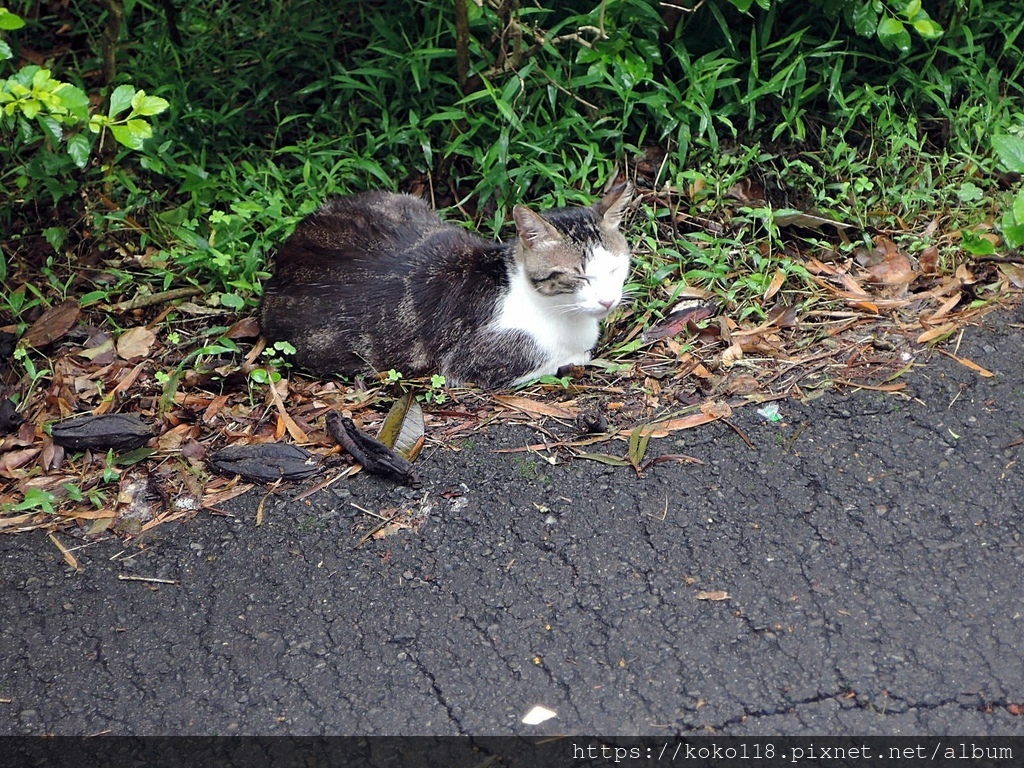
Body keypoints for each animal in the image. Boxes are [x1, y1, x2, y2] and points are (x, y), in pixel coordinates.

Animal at [258, 182, 630, 391]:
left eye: (615, 268)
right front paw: (578, 355)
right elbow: (571, 358)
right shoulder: (471, 363)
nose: (607, 301)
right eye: (579, 275)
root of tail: (284, 259)